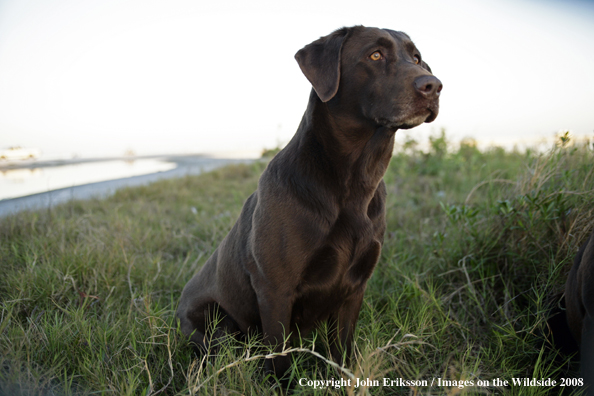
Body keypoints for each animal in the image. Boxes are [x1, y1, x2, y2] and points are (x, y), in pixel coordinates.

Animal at [176, 25, 440, 380]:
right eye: (375, 55)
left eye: (416, 57)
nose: (434, 85)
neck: (354, 183)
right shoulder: (275, 288)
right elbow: (279, 357)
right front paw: (282, 384)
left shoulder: (355, 286)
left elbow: (342, 349)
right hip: (216, 327)